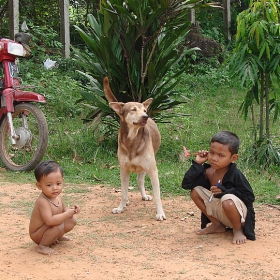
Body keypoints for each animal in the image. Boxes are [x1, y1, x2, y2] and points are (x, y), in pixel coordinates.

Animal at [104, 76, 166, 221]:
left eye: (144, 110)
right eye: (133, 109)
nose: (145, 116)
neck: (132, 139)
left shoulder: (152, 170)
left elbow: (157, 196)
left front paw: (160, 213)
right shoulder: (123, 169)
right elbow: (123, 192)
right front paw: (121, 207)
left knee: (140, 180)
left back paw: (144, 195)